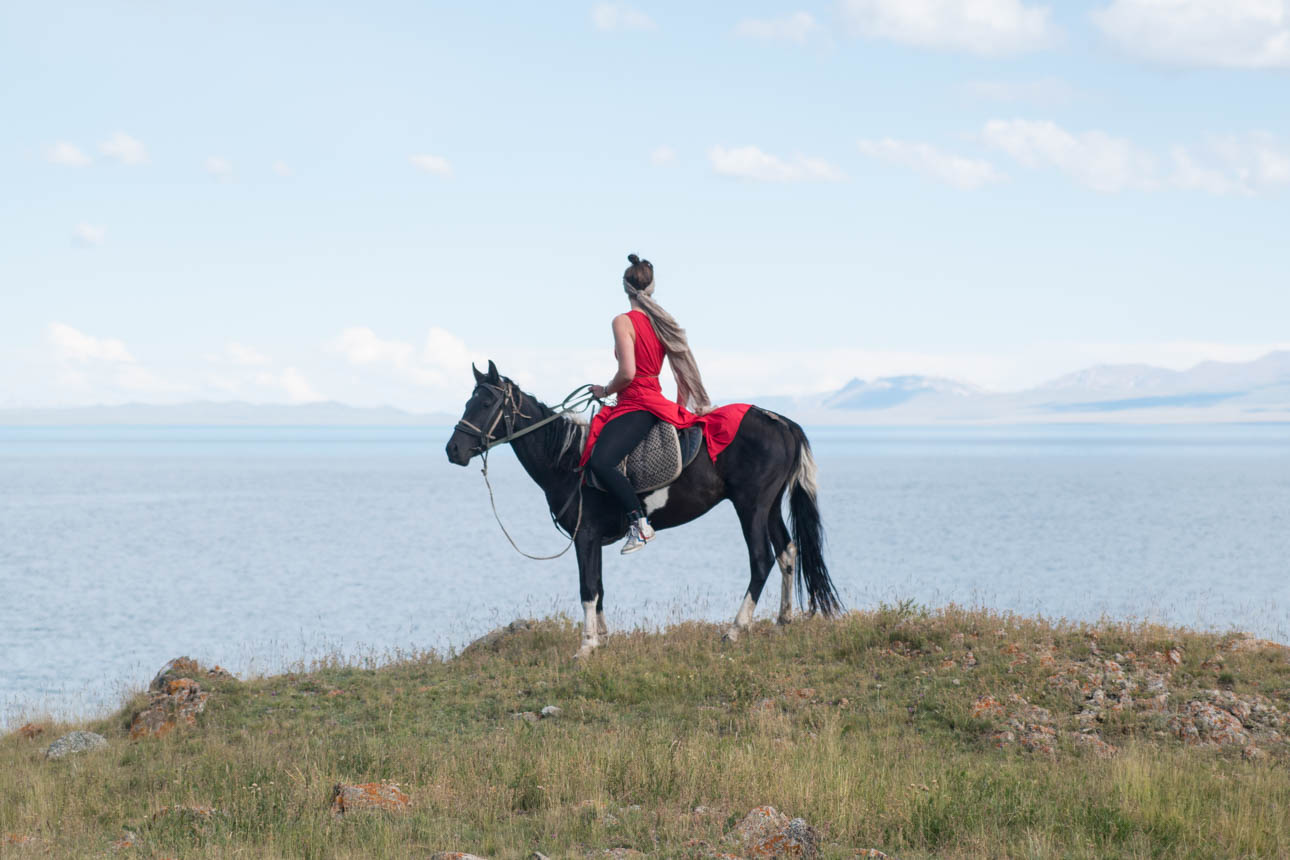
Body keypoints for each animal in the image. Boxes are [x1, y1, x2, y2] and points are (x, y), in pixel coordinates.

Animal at [446, 361, 846, 654]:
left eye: (485, 404)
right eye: (468, 402)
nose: (453, 450)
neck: (568, 460)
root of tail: (783, 423)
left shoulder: (585, 535)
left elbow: (587, 588)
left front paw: (586, 646)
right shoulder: (593, 539)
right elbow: (600, 587)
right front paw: (603, 639)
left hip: (751, 506)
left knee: (761, 559)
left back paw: (735, 630)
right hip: (770, 504)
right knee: (787, 551)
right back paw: (783, 620)